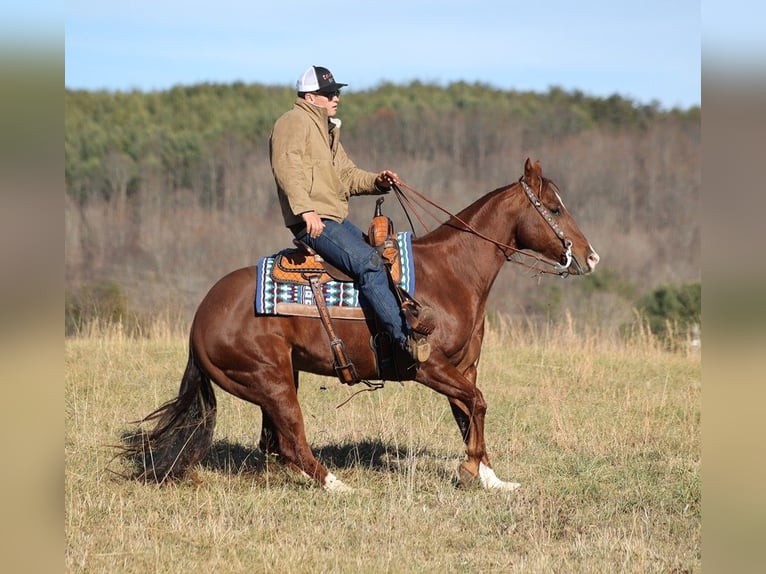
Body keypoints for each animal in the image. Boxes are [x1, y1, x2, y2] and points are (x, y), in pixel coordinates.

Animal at [123, 159, 600, 496]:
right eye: (554, 208)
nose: (590, 256)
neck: (451, 272)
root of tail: (201, 316)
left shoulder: (464, 367)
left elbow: (468, 413)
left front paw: (489, 477)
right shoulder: (429, 367)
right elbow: (477, 404)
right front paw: (469, 471)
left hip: (278, 378)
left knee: (275, 444)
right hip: (271, 381)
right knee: (292, 442)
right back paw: (340, 486)